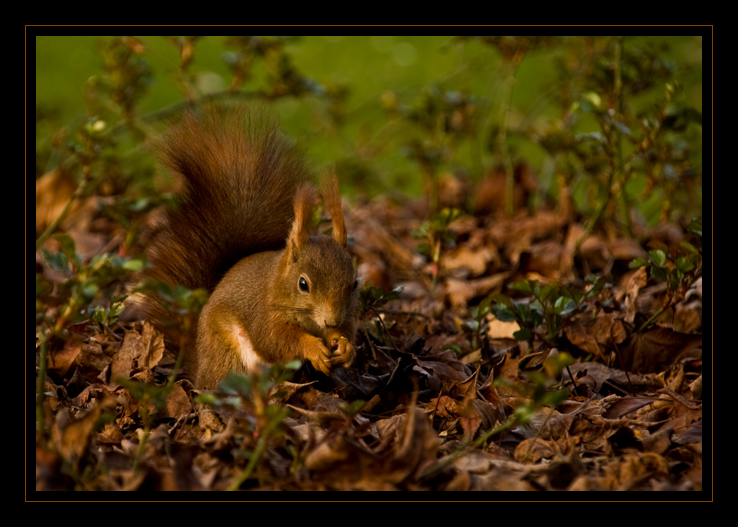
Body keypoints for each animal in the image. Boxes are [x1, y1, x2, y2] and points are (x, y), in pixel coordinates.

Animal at [132, 105, 356, 390]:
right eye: (303, 284)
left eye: (354, 284)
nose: (332, 320)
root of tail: (199, 368)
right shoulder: (263, 315)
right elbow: (275, 340)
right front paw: (313, 347)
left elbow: (347, 331)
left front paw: (346, 346)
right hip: (228, 351)